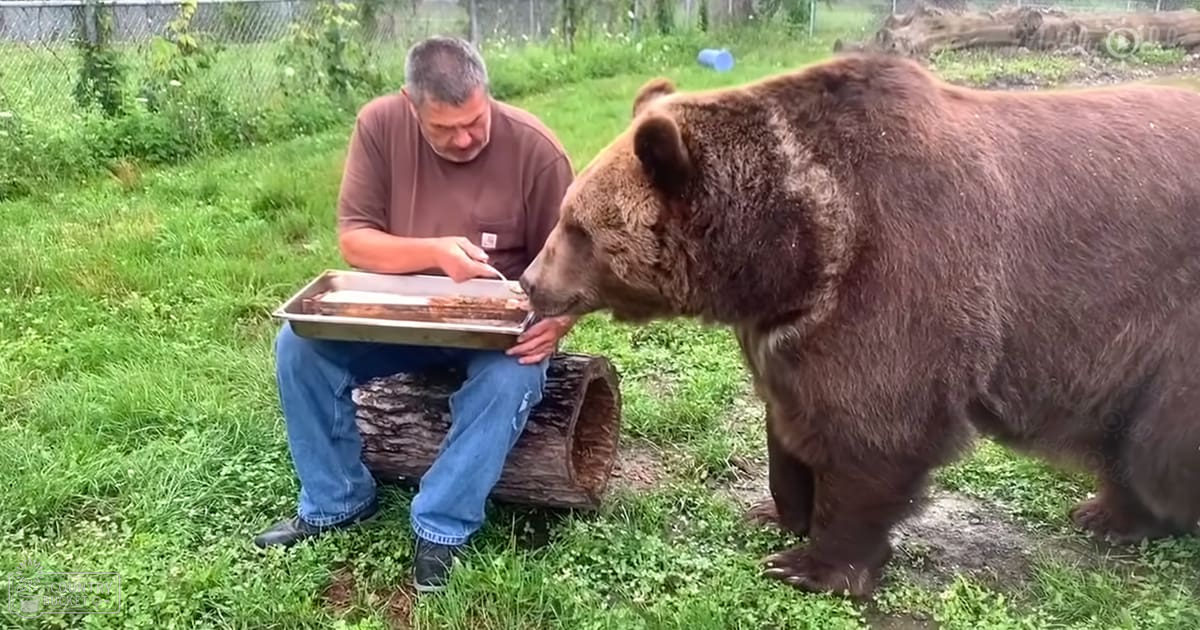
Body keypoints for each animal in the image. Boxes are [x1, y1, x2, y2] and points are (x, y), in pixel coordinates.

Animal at [517, 51, 1200, 600]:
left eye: (577, 227)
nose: (529, 281)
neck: (792, 246)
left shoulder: (898, 271)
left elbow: (872, 424)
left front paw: (809, 564)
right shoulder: (786, 327)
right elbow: (791, 420)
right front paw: (776, 511)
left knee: (1157, 450)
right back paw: (1108, 514)